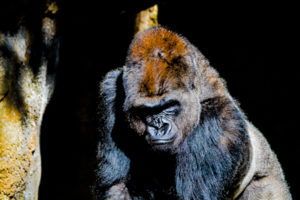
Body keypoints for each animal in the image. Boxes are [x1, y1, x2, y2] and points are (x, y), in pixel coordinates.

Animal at [95, 27, 290, 200]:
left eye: (170, 106)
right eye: (145, 110)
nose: (159, 127)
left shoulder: (217, 120)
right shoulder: (111, 91)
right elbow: (118, 187)